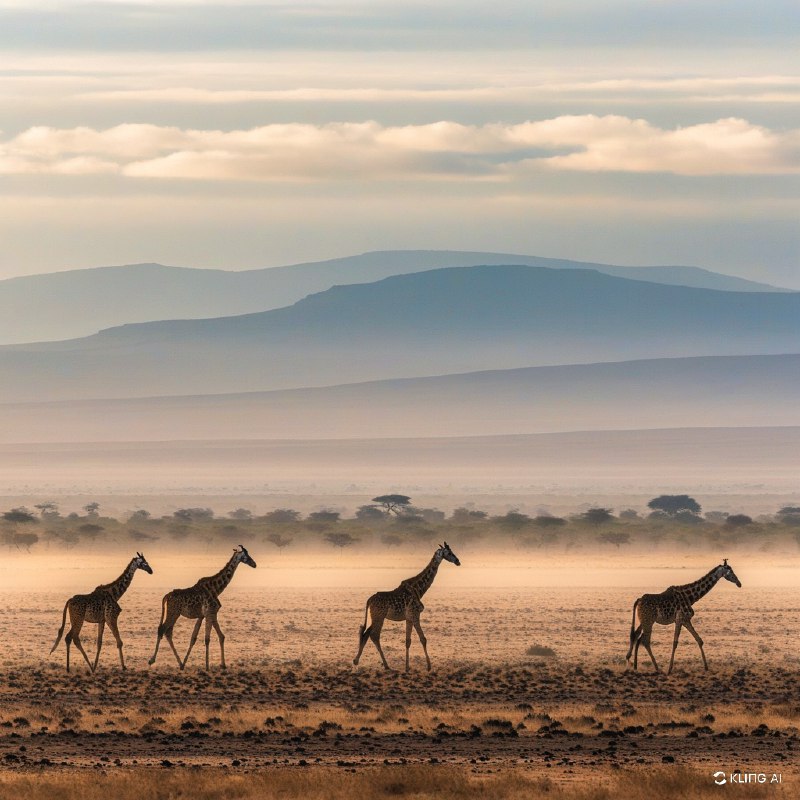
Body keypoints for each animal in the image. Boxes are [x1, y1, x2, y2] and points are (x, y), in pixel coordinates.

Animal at [353, 542, 460, 672]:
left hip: (374, 617)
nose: (458, 561)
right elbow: (423, 639)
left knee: (365, 633)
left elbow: (408, 641)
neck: (419, 589)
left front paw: (407, 667)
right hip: (379, 617)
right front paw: (428, 666)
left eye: (452, 551)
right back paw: (386, 665)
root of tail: (369, 601)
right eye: (449, 553)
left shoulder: (409, 617)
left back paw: (357, 661)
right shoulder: (415, 614)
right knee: (374, 635)